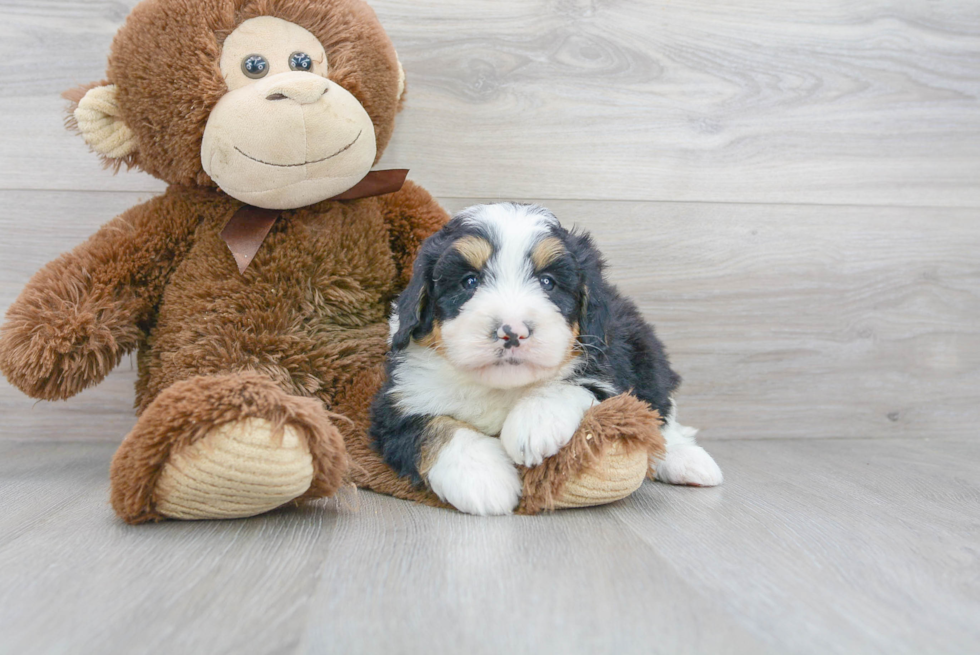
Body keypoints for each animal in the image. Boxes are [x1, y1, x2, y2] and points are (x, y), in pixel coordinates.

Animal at [368, 202, 720, 516]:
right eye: (469, 281)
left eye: (547, 282)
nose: (512, 332)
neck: (501, 388)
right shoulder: (398, 403)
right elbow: (435, 428)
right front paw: (483, 477)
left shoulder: (609, 374)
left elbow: (572, 386)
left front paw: (533, 425)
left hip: (647, 356)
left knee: (661, 415)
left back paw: (687, 461)